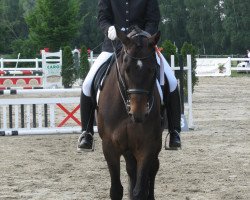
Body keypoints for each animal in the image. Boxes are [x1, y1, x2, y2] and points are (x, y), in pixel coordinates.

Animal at [96, 27, 164, 200]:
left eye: (153, 69)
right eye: (126, 69)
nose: (138, 113)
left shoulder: (147, 145)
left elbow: (140, 190)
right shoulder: (109, 146)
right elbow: (116, 190)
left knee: (153, 169)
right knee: (131, 169)